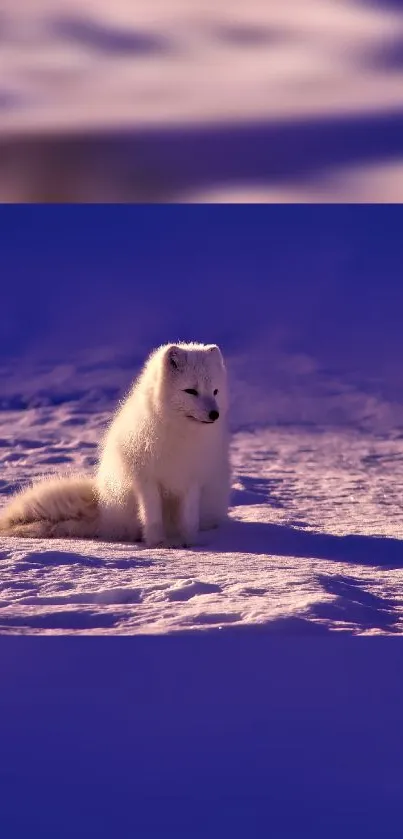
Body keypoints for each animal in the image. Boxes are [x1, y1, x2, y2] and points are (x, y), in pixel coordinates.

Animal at [0, 344, 230, 548]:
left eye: (215, 391)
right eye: (191, 391)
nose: (214, 414)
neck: (180, 434)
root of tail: (102, 509)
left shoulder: (193, 480)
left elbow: (189, 519)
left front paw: (190, 543)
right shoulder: (146, 480)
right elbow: (152, 516)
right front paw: (158, 543)